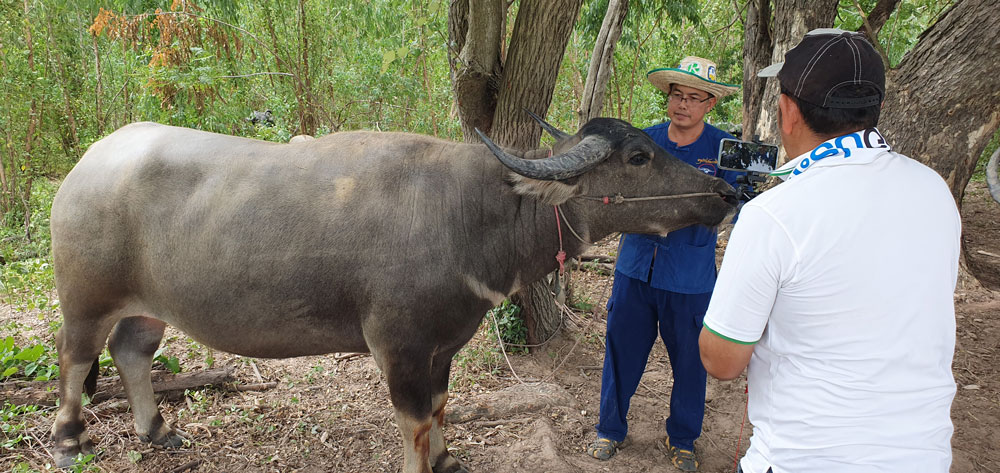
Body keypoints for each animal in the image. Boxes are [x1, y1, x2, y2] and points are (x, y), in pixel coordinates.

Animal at [48, 116, 736, 470]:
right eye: (639, 156)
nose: (725, 191)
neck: (470, 213)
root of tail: (86, 164)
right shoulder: (397, 345)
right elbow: (412, 419)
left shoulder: (443, 346)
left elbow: (439, 407)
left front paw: (448, 460)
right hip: (84, 298)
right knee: (75, 358)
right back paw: (69, 440)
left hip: (148, 306)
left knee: (131, 351)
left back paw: (156, 429)